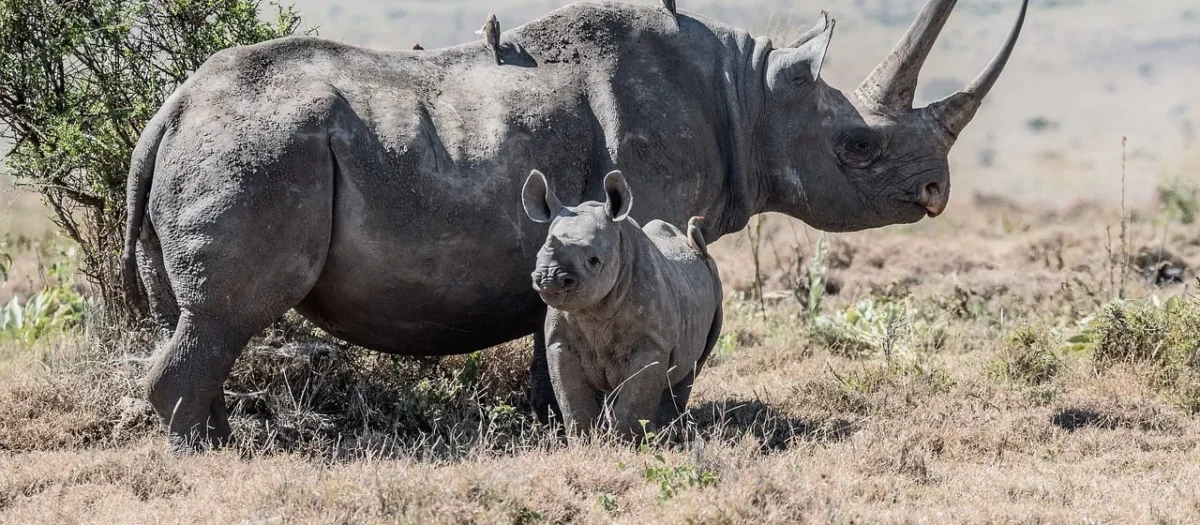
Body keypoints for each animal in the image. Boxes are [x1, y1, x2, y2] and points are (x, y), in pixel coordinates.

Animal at [523, 170, 722, 438]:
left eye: (593, 260)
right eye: (537, 256)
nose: (549, 278)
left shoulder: (652, 343)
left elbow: (633, 402)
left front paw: (625, 442)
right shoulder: (560, 342)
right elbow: (572, 399)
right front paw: (585, 439)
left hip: (715, 287)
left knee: (690, 369)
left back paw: (665, 432)